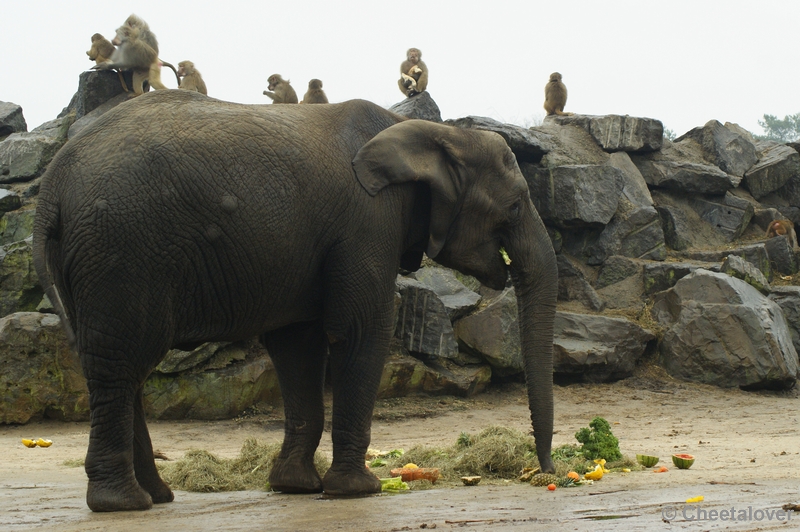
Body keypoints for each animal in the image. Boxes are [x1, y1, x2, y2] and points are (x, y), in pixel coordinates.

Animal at [31, 90, 556, 512]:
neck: (433, 135)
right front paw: (357, 490)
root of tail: (51, 187)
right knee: (121, 364)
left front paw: (296, 487)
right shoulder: (367, 221)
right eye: (513, 206)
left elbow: (296, 345)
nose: (545, 472)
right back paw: (122, 504)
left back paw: (157, 496)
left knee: (121, 365)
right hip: (121, 250)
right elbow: (362, 330)